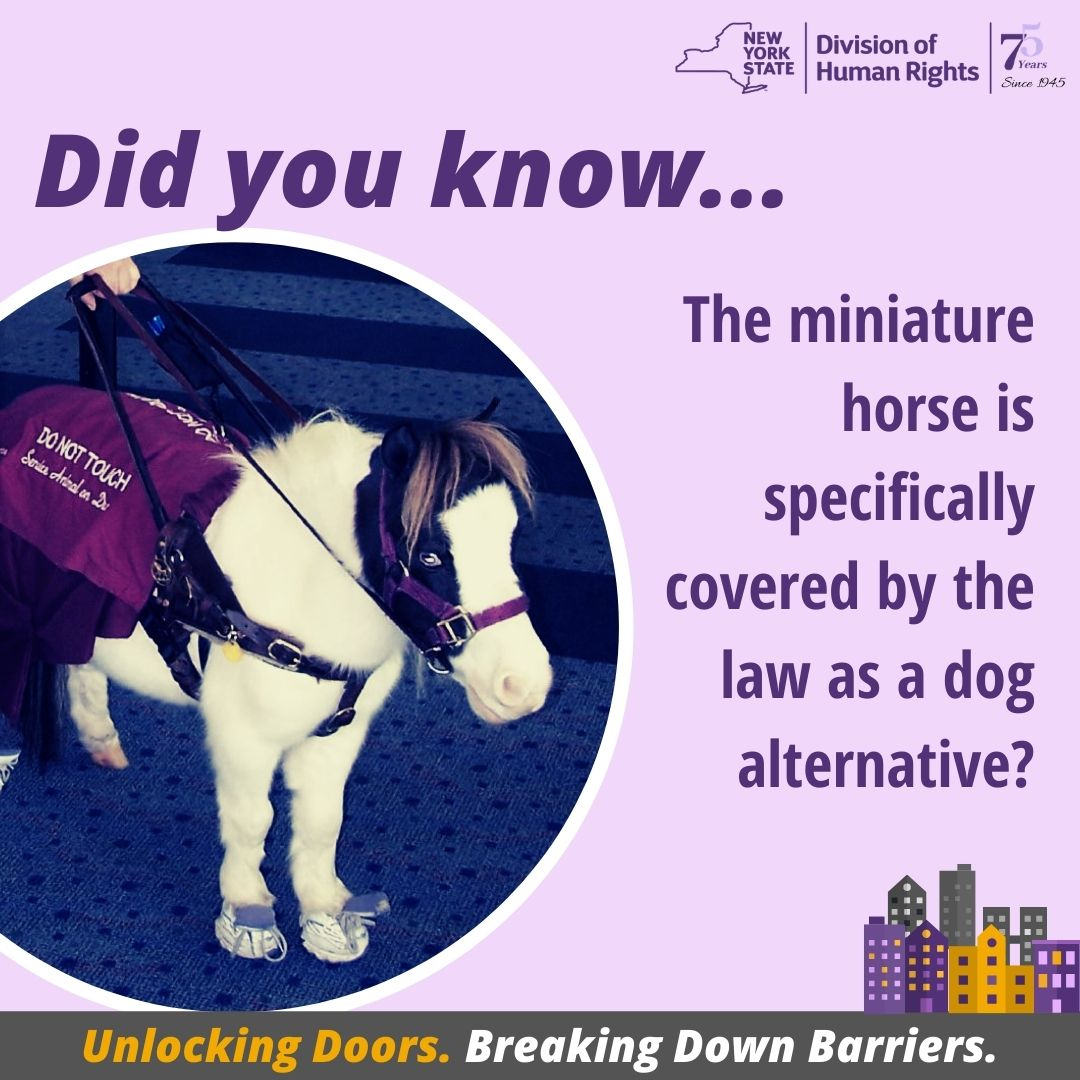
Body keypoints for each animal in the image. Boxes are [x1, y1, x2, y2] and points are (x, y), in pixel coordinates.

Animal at [16, 400, 553, 964]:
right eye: (429, 555)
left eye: (511, 537)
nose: (522, 684)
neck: (299, 589)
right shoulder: (243, 735)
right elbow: (253, 819)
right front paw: (247, 913)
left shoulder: (338, 733)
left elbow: (322, 821)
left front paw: (327, 913)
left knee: (82, 664)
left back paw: (100, 738)